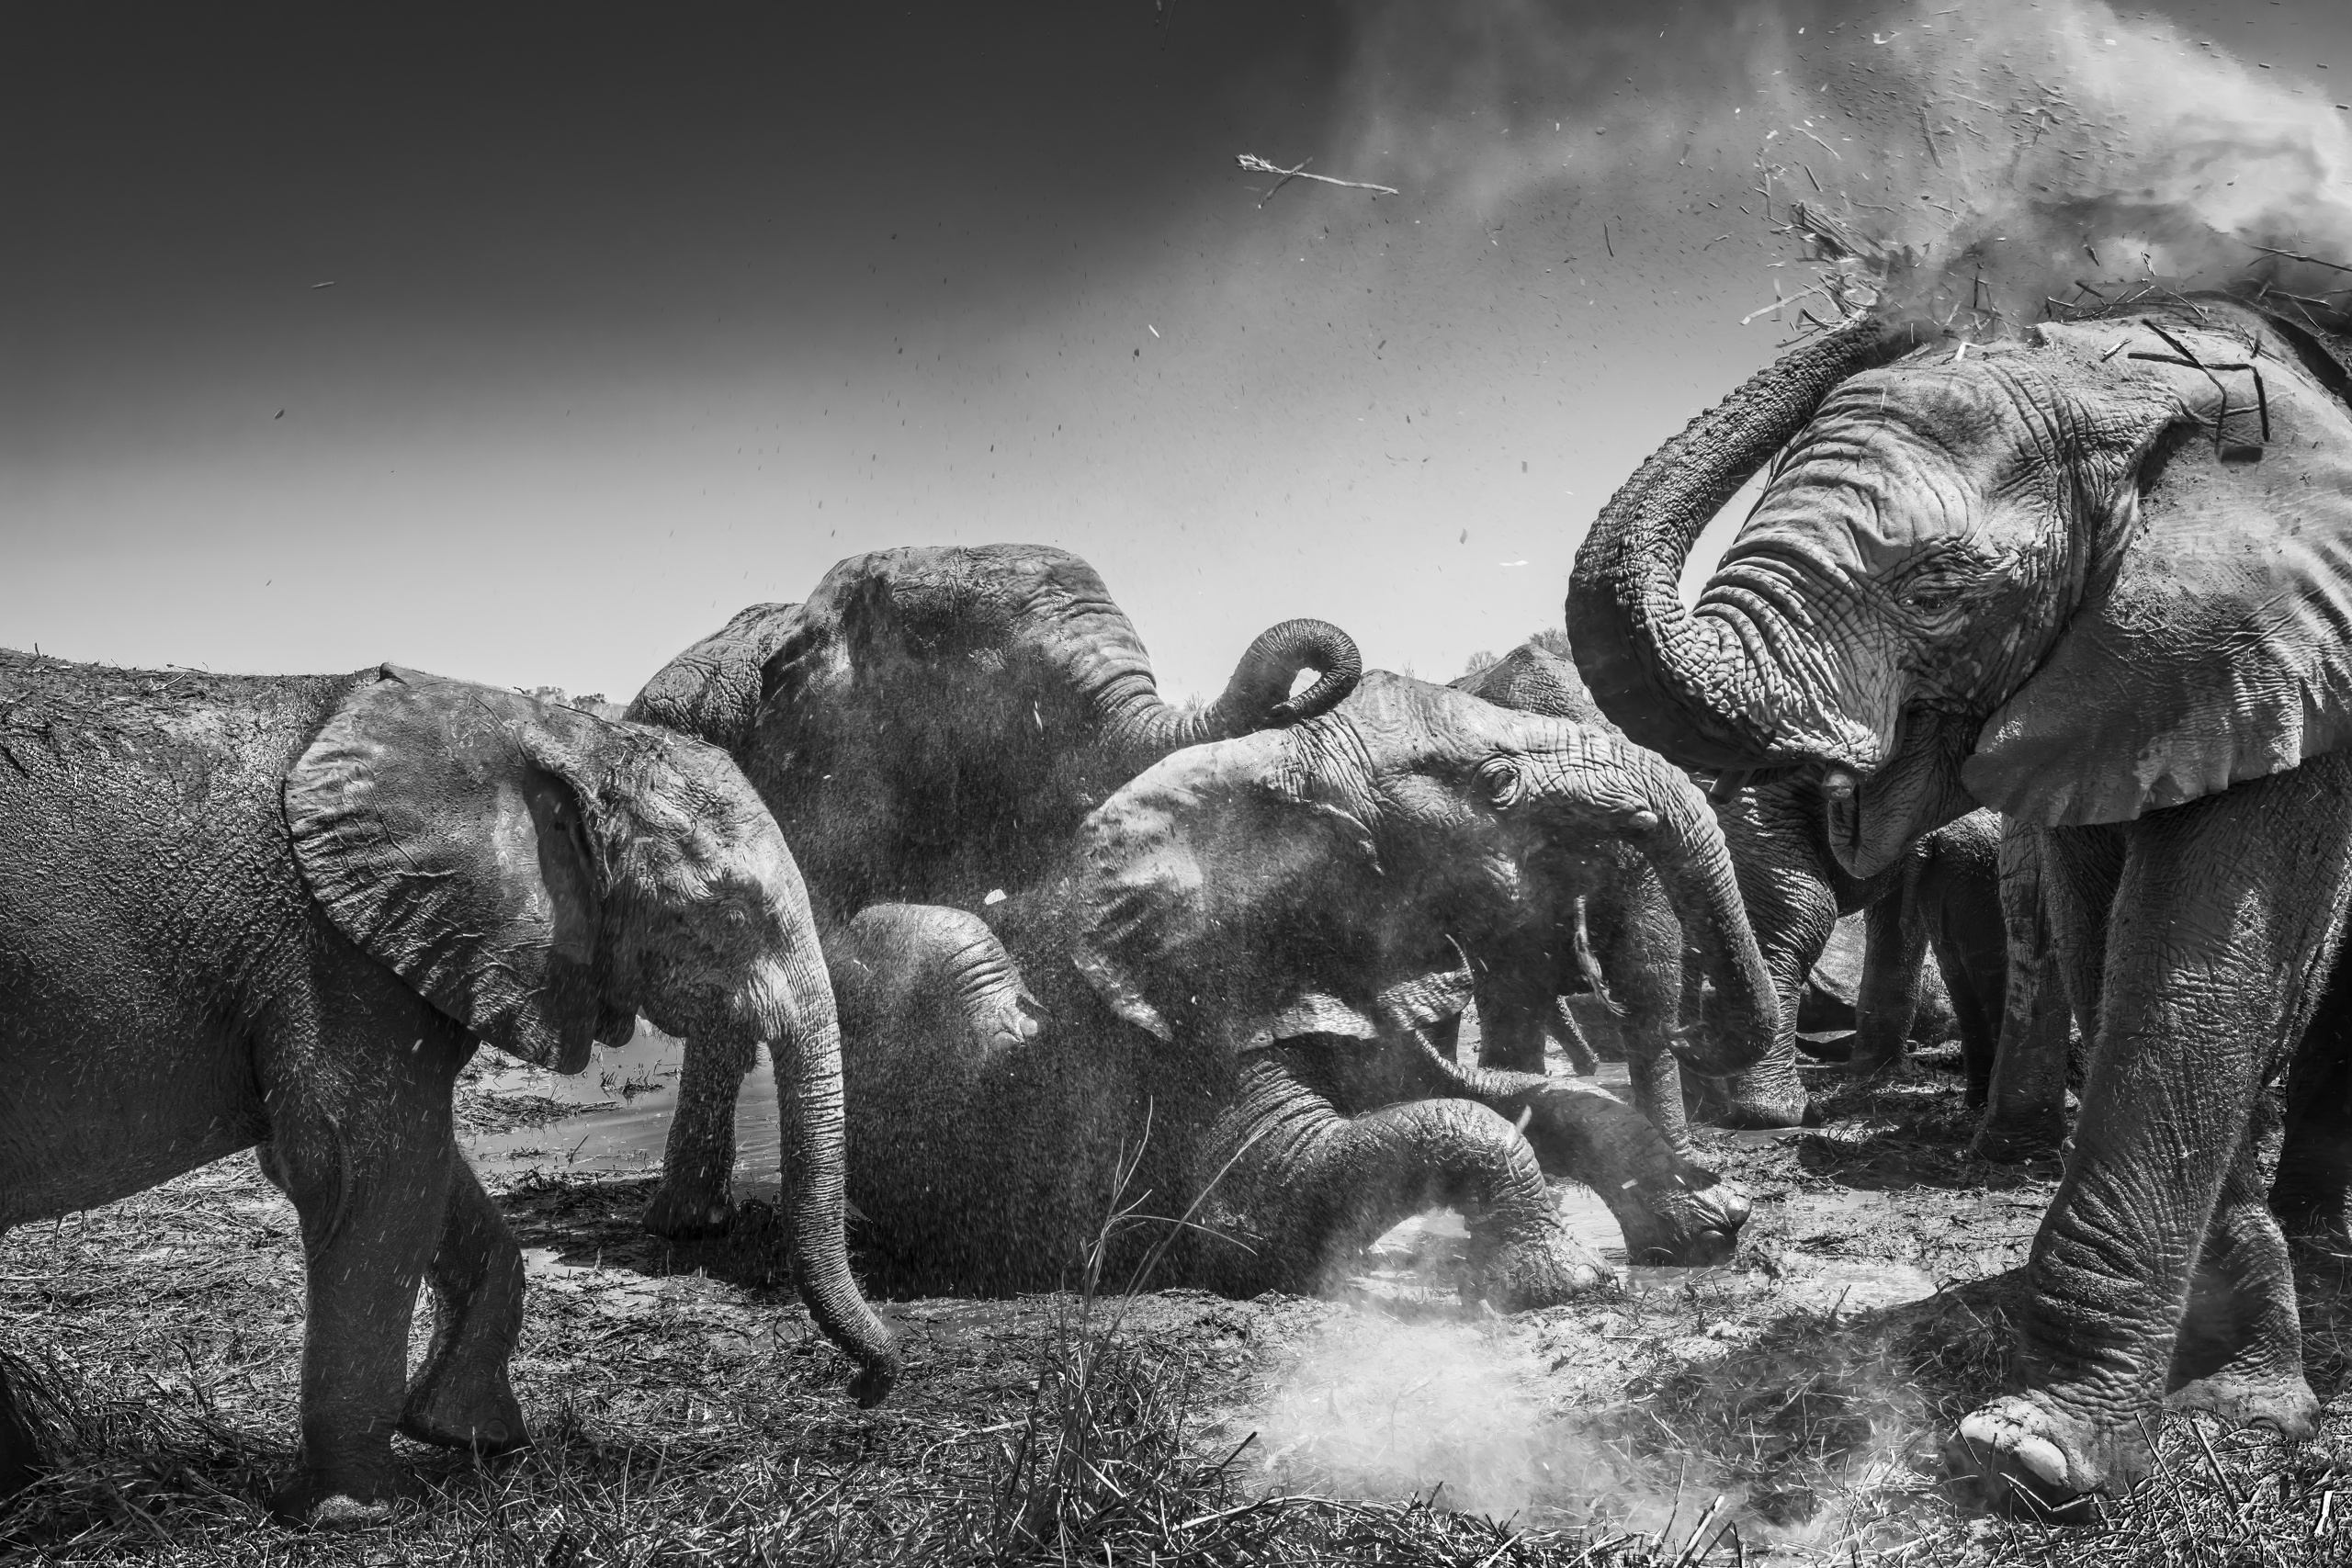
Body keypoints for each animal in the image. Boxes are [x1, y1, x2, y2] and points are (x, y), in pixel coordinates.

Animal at [0, 653, 896, 1525]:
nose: (865, 1392)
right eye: (729, 911)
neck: (545, 734)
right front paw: (359, 1513)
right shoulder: (337, 957)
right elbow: (367, 1171)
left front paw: (470, 1435)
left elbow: (426, 1177)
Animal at [624, 544, 1361, 1238]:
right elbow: (814, 947)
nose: (1291, 701)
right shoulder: (815, 768)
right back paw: (688, 1226)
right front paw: (1015, 1030)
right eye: (1030, 706)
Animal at [827, 671, 1772, 1305]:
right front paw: (1569, 1281)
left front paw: (1708, 1222)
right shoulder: (1189, 1028)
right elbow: (1276, 1193)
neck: (1268, 769)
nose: (1695, 1032)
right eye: (1497, 784)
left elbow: (1510, 1095)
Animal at [1568, 292, 2352, 1509]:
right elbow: (2111, 951)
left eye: (1933, 593)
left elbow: (2200, 968)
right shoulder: (2136, 679)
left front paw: (2035, 1450)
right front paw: (2233, 1387)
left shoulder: (2274, 643)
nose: (1885, 299)